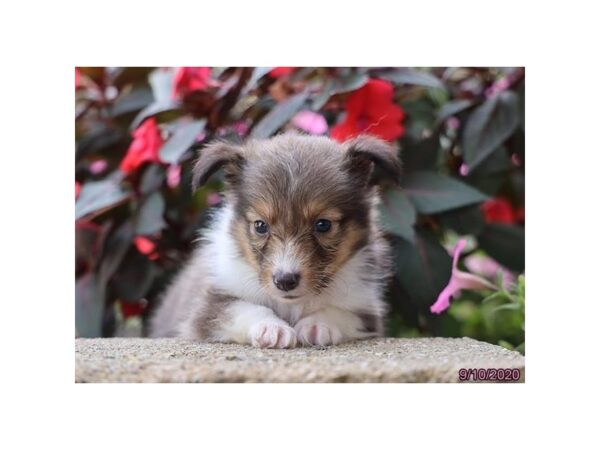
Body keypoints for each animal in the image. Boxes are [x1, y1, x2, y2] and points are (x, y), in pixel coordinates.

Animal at [149, 134, 400, 348]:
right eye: (260, 225)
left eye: (323, 224)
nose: (285, 281)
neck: (291, 304)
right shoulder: (207, 307)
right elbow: (243, 307)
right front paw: (272, 329)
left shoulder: (366, 312)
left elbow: (339, 312)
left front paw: (317, 325)